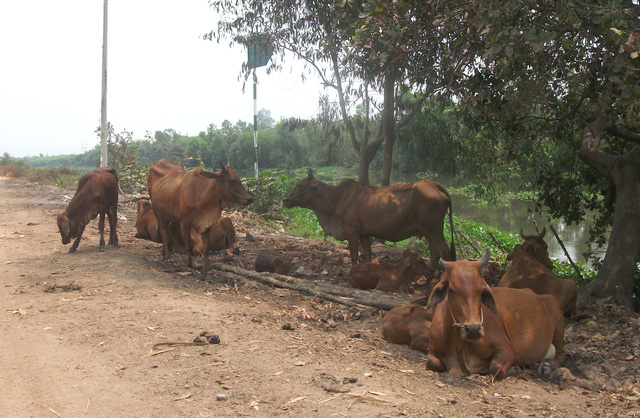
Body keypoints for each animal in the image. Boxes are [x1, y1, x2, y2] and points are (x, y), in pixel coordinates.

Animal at [282, 168, 456, 270]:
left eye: (300, 185)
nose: (285, 200)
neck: (336, 199)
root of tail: (434, 184)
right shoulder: (364, 233)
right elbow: (367, 255)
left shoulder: (352, 231)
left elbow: (354, 255)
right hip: (430, 232)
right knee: (435, 254)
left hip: (435, 230)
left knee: (445, 252)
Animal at [424, 250, 564, 380]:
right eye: (452, 290)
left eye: (481, 289)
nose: (473, 330)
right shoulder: (431, 348)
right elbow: (433, 363)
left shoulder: (506, 348)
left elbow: (495, 368)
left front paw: (515, 369)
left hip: (558, 321)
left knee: (561, 355)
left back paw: (546, 365)